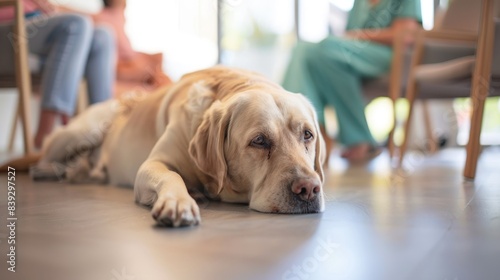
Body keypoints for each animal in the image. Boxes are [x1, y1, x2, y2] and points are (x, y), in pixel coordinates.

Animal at [33, 66, 326, 228]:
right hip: (78, 132)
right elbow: (171, 175)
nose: (309, 188)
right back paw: (47, 170)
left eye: (307, 135)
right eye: (259, 140)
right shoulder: (152, 164)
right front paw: (178, 201)